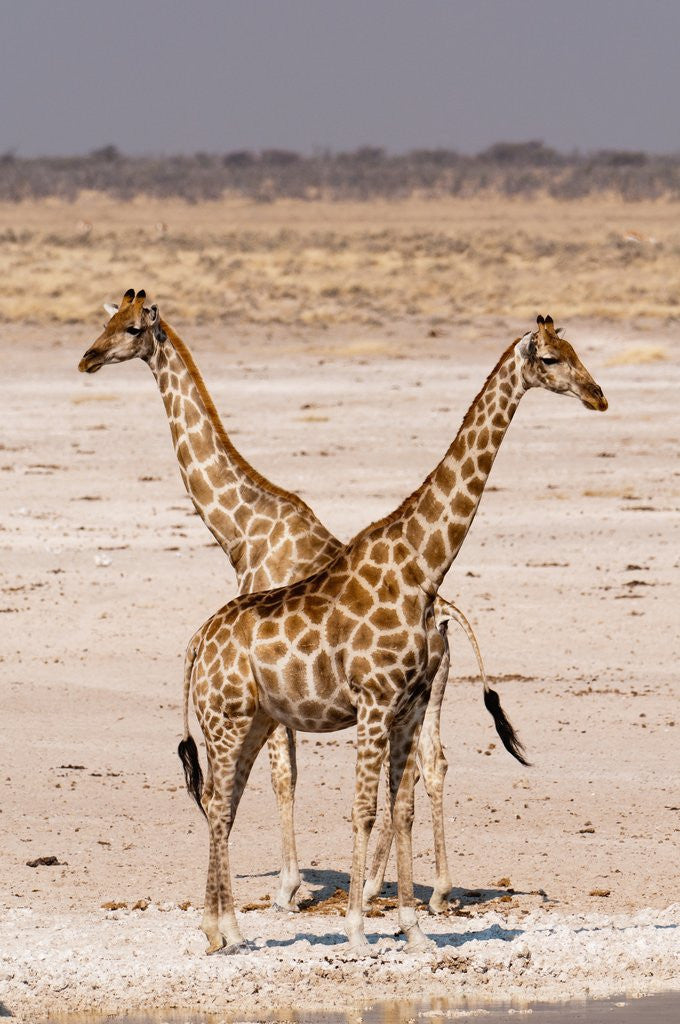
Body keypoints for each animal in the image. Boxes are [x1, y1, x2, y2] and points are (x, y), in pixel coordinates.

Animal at [78, 288, 521, 917]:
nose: (88, 357)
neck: (243, 530)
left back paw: (379, 886)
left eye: (132, 328)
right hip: (433, 690)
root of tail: (444, 615)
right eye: (108, 320)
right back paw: (430, 889)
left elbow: (283, 774)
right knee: (432, 765)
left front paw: (288, 888)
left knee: (411, 772)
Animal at [180, 315, 607, 954]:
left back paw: (226, 929)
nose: (597, 395)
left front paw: (412, 928)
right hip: (225, 720)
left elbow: (400, 807)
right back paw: (220, 929)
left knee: (222, 802)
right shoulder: (376, 702)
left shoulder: (410, 703)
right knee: (217, 800)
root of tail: (199, 641)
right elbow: (362, 809)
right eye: (552, 359)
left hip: (251, 721)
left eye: (577, 350)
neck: (422, 567)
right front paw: (358, 929)